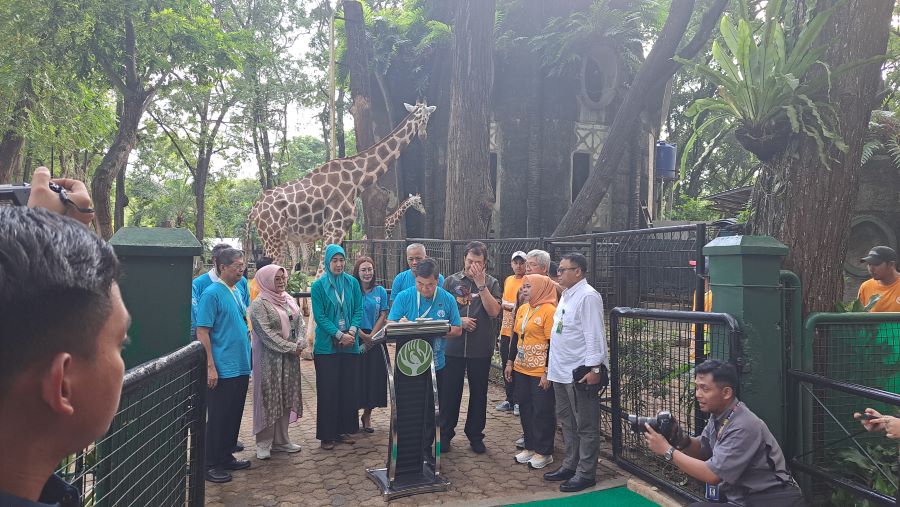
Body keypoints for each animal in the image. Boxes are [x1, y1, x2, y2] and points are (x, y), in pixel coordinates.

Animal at [248, 102, 438, 270]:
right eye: (422, 115)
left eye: (427, 116)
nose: (423, 134)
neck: (356, 180)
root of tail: (254, 210)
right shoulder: (334, 228)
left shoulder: (338, 231)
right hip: (274, 239)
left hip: (280, 239)